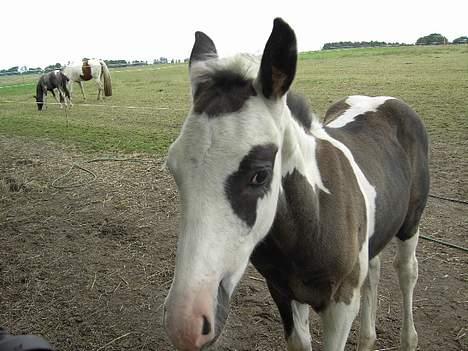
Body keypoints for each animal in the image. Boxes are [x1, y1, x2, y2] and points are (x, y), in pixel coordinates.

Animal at [163, 18, 430, 351]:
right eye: (174, 169)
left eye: (260, 174)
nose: (185, 323)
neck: (312, 221)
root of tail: (382, 99)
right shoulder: (281, 291)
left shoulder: (342, 303)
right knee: (375, 270)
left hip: (410, 223)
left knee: (407, 271)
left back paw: (409, 337)